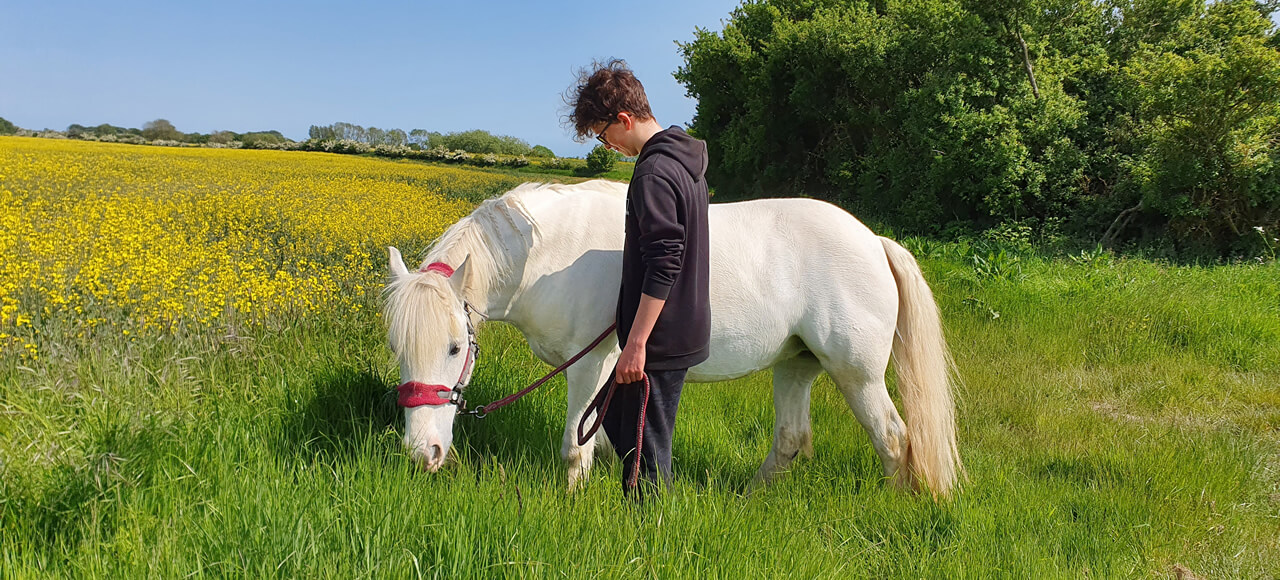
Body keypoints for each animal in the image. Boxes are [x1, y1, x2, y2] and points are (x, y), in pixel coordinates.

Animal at [384, 180, 962, 496]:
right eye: (396, 349)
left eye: (455, 347)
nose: (422, 452)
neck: (544, 253)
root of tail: (874, 241)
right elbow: (609, 440)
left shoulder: (589, 365)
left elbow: (575, 446)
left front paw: (572, 499)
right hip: (796, 365)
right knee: (791, 439)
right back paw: (747, 500)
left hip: (857, 375)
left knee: (894, 439)